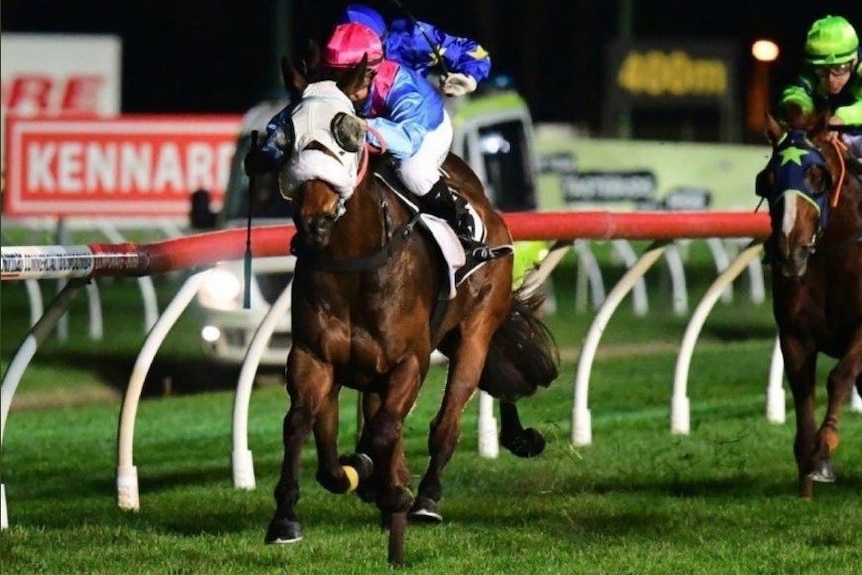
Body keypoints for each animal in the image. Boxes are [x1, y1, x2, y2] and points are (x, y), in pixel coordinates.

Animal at [264, 54, 560, 564]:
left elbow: (383, 432)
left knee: (447, 419)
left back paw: (424, 498)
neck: (355, 264)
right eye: (289, 133)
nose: (313, 220)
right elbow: (303, 426)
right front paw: (287, 516)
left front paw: (376, 476)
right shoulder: (313, 355)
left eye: (346, 133)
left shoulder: (409, 360)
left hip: (474, 332)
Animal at [760, 112, 860, 500]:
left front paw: (824, 451)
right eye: (768, 179)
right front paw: (806, 471)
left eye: (818, 177)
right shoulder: (794, 334)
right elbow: (803, 390)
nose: (790, 249)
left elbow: (839, 377)